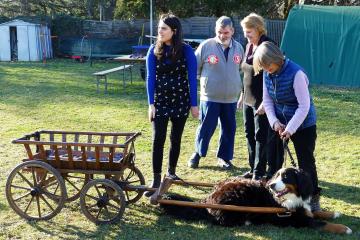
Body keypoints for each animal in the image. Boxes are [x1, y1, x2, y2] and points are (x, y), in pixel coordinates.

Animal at [160, 168, 352, 233]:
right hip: (238, 197)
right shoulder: (297, 219)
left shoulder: (302, 209)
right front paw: (344, 228)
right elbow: (321, 223)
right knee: (222, 219)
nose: (272, 185)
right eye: (276, 176)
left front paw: (333, 213)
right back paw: (247, 221)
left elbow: (317, 213)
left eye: (286, 177)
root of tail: (209, 198)